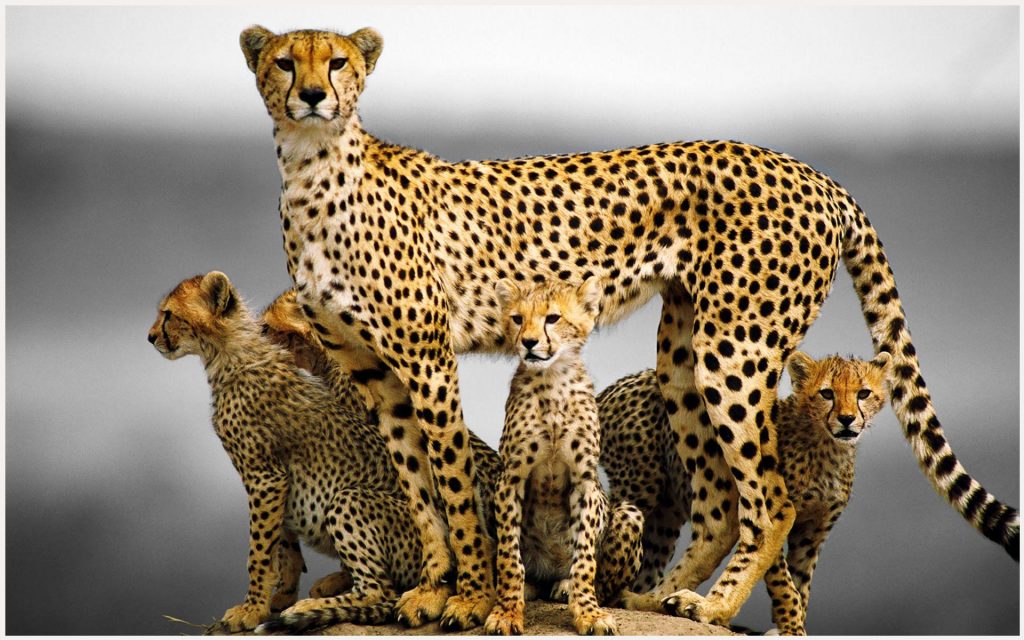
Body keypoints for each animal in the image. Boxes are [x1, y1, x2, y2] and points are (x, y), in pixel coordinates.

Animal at [148, 272, 421, 633]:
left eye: (169, 314)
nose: (150, 337)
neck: (228, 354)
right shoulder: (277, 480)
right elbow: (282, 543)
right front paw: (277, 596)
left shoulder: (265, 477)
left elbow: (259, 549)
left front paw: (251, 609)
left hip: (351, 500)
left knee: (380, 590)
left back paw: (310, 608)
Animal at [485, 279, 643, 636]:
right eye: (517, 319)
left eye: (553, 318)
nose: (528, 342)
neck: (552, 380)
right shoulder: (510, 477)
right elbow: (509, 555)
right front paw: (507, 611)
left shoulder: (585, 482)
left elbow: (584, 558)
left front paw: (588, 612)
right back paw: (532, 586)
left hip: (629, 513)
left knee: (605, 584)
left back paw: (567, 587)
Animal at [603, 352, 892, 635]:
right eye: (827, 393)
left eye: (863, 393)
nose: (846, 419)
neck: (827, 445)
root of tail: (624, 381)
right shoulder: (772, 513)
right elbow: (783, 583)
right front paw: (791, 625)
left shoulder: (813, 533)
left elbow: (801, 584)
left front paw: (793, 624)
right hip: (641, 487)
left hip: (666, 516)